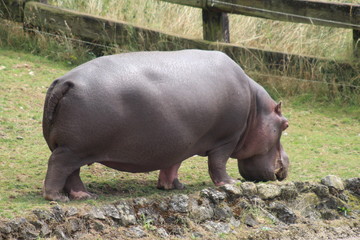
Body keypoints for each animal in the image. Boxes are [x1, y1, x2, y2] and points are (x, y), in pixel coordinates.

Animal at [42, 49, 290, 202]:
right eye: (285, 125)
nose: (286, 163)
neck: (256, 109)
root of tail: (64, 82)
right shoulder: (227, 139)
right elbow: (218, 163)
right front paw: (230, 183)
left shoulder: (179, 143)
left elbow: (172, 165)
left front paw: (175, 187)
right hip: (74, 149)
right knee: (58, 165)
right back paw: (57, 197)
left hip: (74, 148)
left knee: (72, 173)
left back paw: (84, 196)